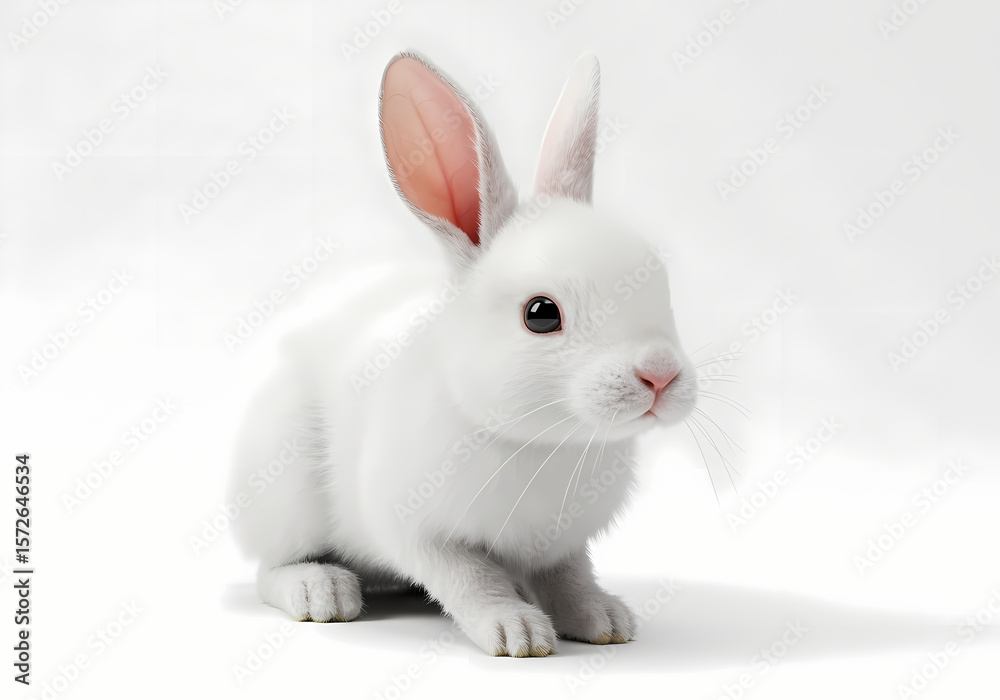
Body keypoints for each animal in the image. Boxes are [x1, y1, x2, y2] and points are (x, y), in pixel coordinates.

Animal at [228, 50, 697, 657]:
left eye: (660, 284)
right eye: (541, 314)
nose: (660, 376)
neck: (540, 440)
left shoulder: (562, 544)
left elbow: (570, 578)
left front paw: (604, 620)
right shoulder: (418, 532)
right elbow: (471, 579)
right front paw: (516, 631)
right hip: (285, 496)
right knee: (270, 569)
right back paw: (322, 591)